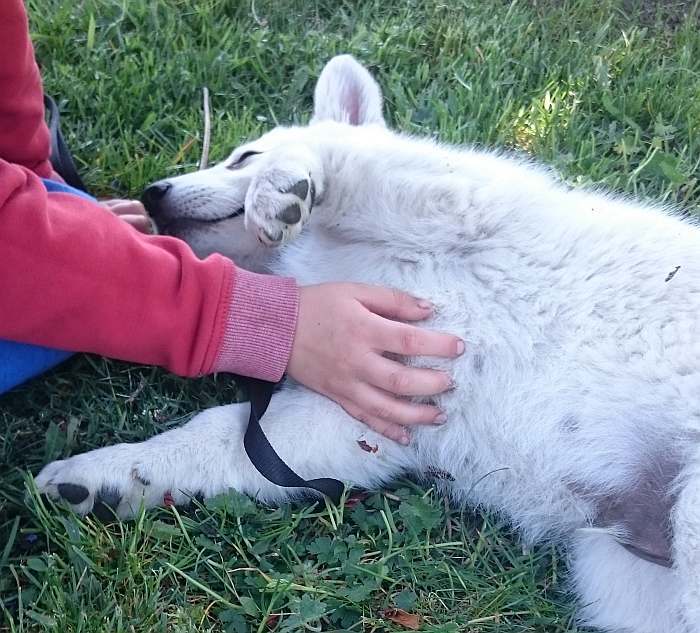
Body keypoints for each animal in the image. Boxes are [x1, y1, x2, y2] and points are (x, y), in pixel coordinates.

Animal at [37, 55, 700, 632]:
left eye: (244, 156)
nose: (153, 193)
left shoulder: (445, 197)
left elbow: (345, 158)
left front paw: (285, 184)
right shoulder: (368, 409)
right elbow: (218, 434)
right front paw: (108, 474)